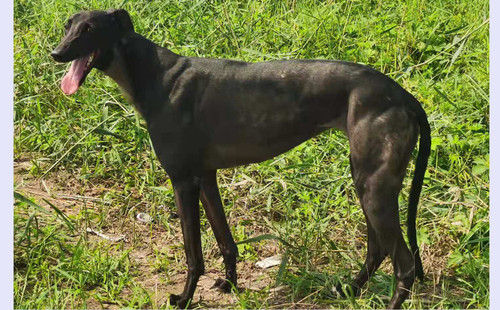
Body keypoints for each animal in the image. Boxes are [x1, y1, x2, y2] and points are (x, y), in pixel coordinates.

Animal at [52, 8, 432, 308]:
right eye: (68, 25)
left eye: (90, 29)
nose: (55, 52)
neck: (155, 75)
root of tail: (404, 96)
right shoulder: (205, 176)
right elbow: (225, 240)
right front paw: (229, 283)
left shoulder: (182, 181)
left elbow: (193, 253)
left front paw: (184, 298)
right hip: (367, 183)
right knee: (377, 249)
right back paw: (348, 289)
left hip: (374, 188)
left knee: (404, 263)